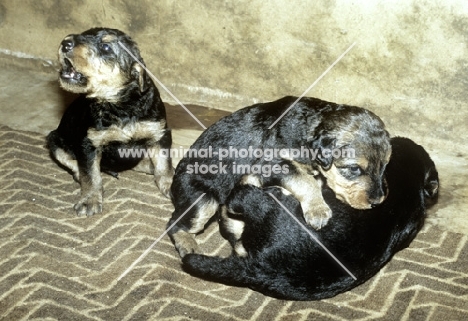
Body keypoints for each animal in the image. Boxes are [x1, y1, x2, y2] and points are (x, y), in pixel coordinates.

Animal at [46, 28, 174, 215]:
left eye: (106, 47)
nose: (66, 42)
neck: (120, 105)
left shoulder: (159, 133)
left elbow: (164, 165)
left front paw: (171, 185)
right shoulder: (88, 143)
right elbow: (90, 175)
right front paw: (90, 199)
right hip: (54, 139)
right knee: (72, 162)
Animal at [168, 96, 392, 256]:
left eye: (385, 166)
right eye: (354, 169)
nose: (378, 201)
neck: (310, 127)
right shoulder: (272, 163)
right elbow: (306, 182)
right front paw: (318, 210)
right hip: (204, 200)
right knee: (174, 223)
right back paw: (188, 246)